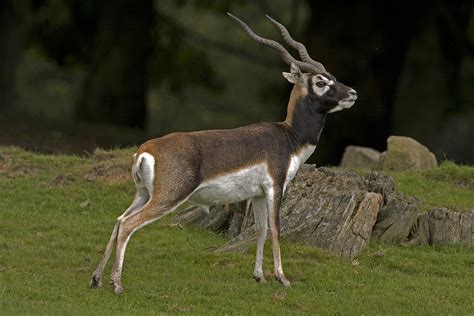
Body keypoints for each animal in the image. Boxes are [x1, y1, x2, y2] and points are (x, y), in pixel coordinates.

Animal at [90, 12, 356, 294]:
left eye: (332, 77)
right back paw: (117, 283)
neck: (289, 136)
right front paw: (282, 277)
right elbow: (275, 228)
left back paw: (96, 278)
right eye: (321, 82)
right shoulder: (276, 186)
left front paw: (259, 276)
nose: (352, 93)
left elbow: (260, 229)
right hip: (168, 197)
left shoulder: (257, 194)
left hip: (143, 194)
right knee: (129, 224)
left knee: (119, 220)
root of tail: (145, 149)